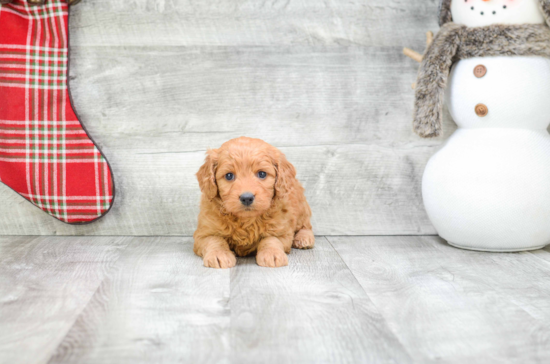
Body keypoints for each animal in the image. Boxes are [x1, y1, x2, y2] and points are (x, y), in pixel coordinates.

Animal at [194, 136, 314, 268]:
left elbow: (271, 239)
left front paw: (272, 253)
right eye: (229, 175)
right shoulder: (203, 233)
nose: (247, 198)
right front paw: (218, 254)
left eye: (262, 174)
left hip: (301, 206)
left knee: (306, 225)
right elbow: (214, 240)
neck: (246, 220)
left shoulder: (282, 231)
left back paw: (304, 238)